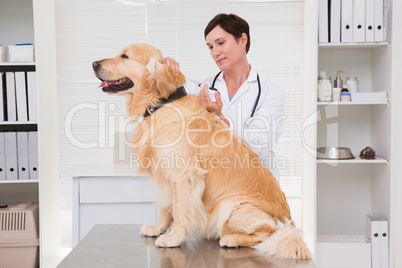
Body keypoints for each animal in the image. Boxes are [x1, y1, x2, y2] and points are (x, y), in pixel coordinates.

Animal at [93, 43, 310, 260]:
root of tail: (289, 223)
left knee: (270, 233)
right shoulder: (167, 174)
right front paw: (157, 228)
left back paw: (232, 238)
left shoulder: (185, 176)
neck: (163, 103)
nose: (94, 63)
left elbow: (179, 210)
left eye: (125, 56)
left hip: (232, 204)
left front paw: (173, 237)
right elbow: (165, 207)